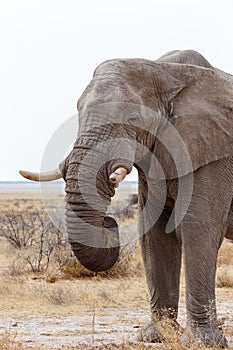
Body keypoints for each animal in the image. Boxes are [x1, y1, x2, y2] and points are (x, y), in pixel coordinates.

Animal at [19, 50, 233, 348]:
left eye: (133, 119)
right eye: (79, 113)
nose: (110, 222)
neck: (166, 71)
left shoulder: (214, 155)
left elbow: (198, 228)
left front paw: (203, 342)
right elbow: (155, 233)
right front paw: (156, 336)